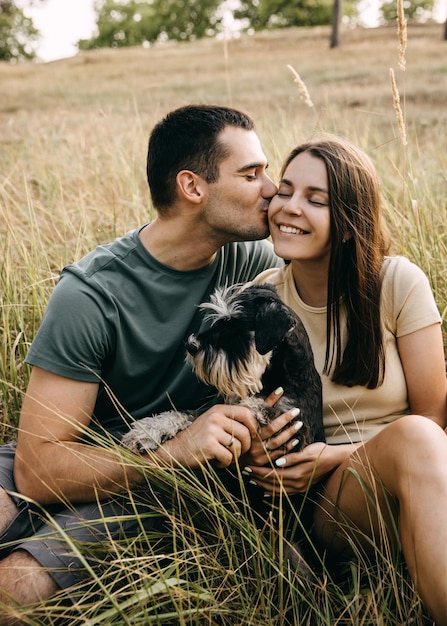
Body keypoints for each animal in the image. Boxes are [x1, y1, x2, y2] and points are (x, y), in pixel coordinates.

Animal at [122, 282, 326, 454]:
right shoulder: (212, 406)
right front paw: (146, 432)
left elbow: (258, 407)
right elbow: (181, 414)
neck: (271, 377)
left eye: (234, 330)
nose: (191, 345)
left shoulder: (295, 428)